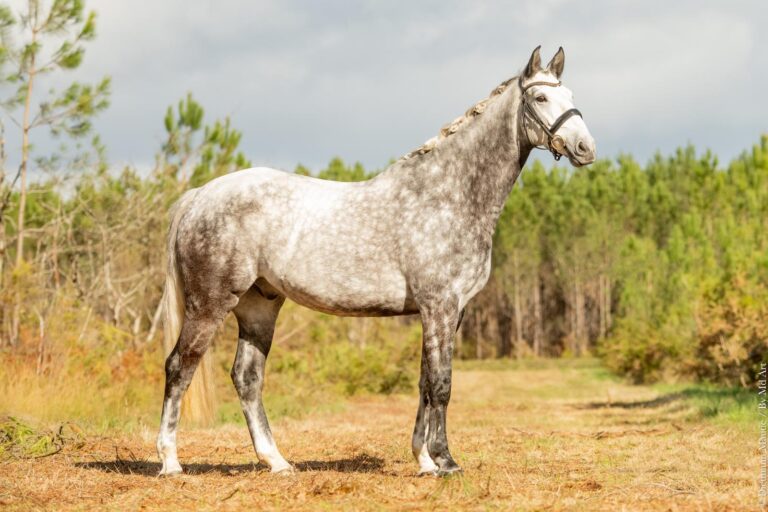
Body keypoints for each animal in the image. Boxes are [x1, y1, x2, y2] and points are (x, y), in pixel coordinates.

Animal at [156, 45, 596, 477]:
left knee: (247, 378)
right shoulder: (439, 306)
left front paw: (424, 461)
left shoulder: (451, 312)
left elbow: (424, 383)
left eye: (572, 96)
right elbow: (441, 383)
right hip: (210, 304)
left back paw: (278, 463)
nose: (585, 149)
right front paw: (446, 461)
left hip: (258, 306)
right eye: (540, 98)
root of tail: (199, 196)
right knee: (179, 366)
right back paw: (170, 462)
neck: (448, 195)